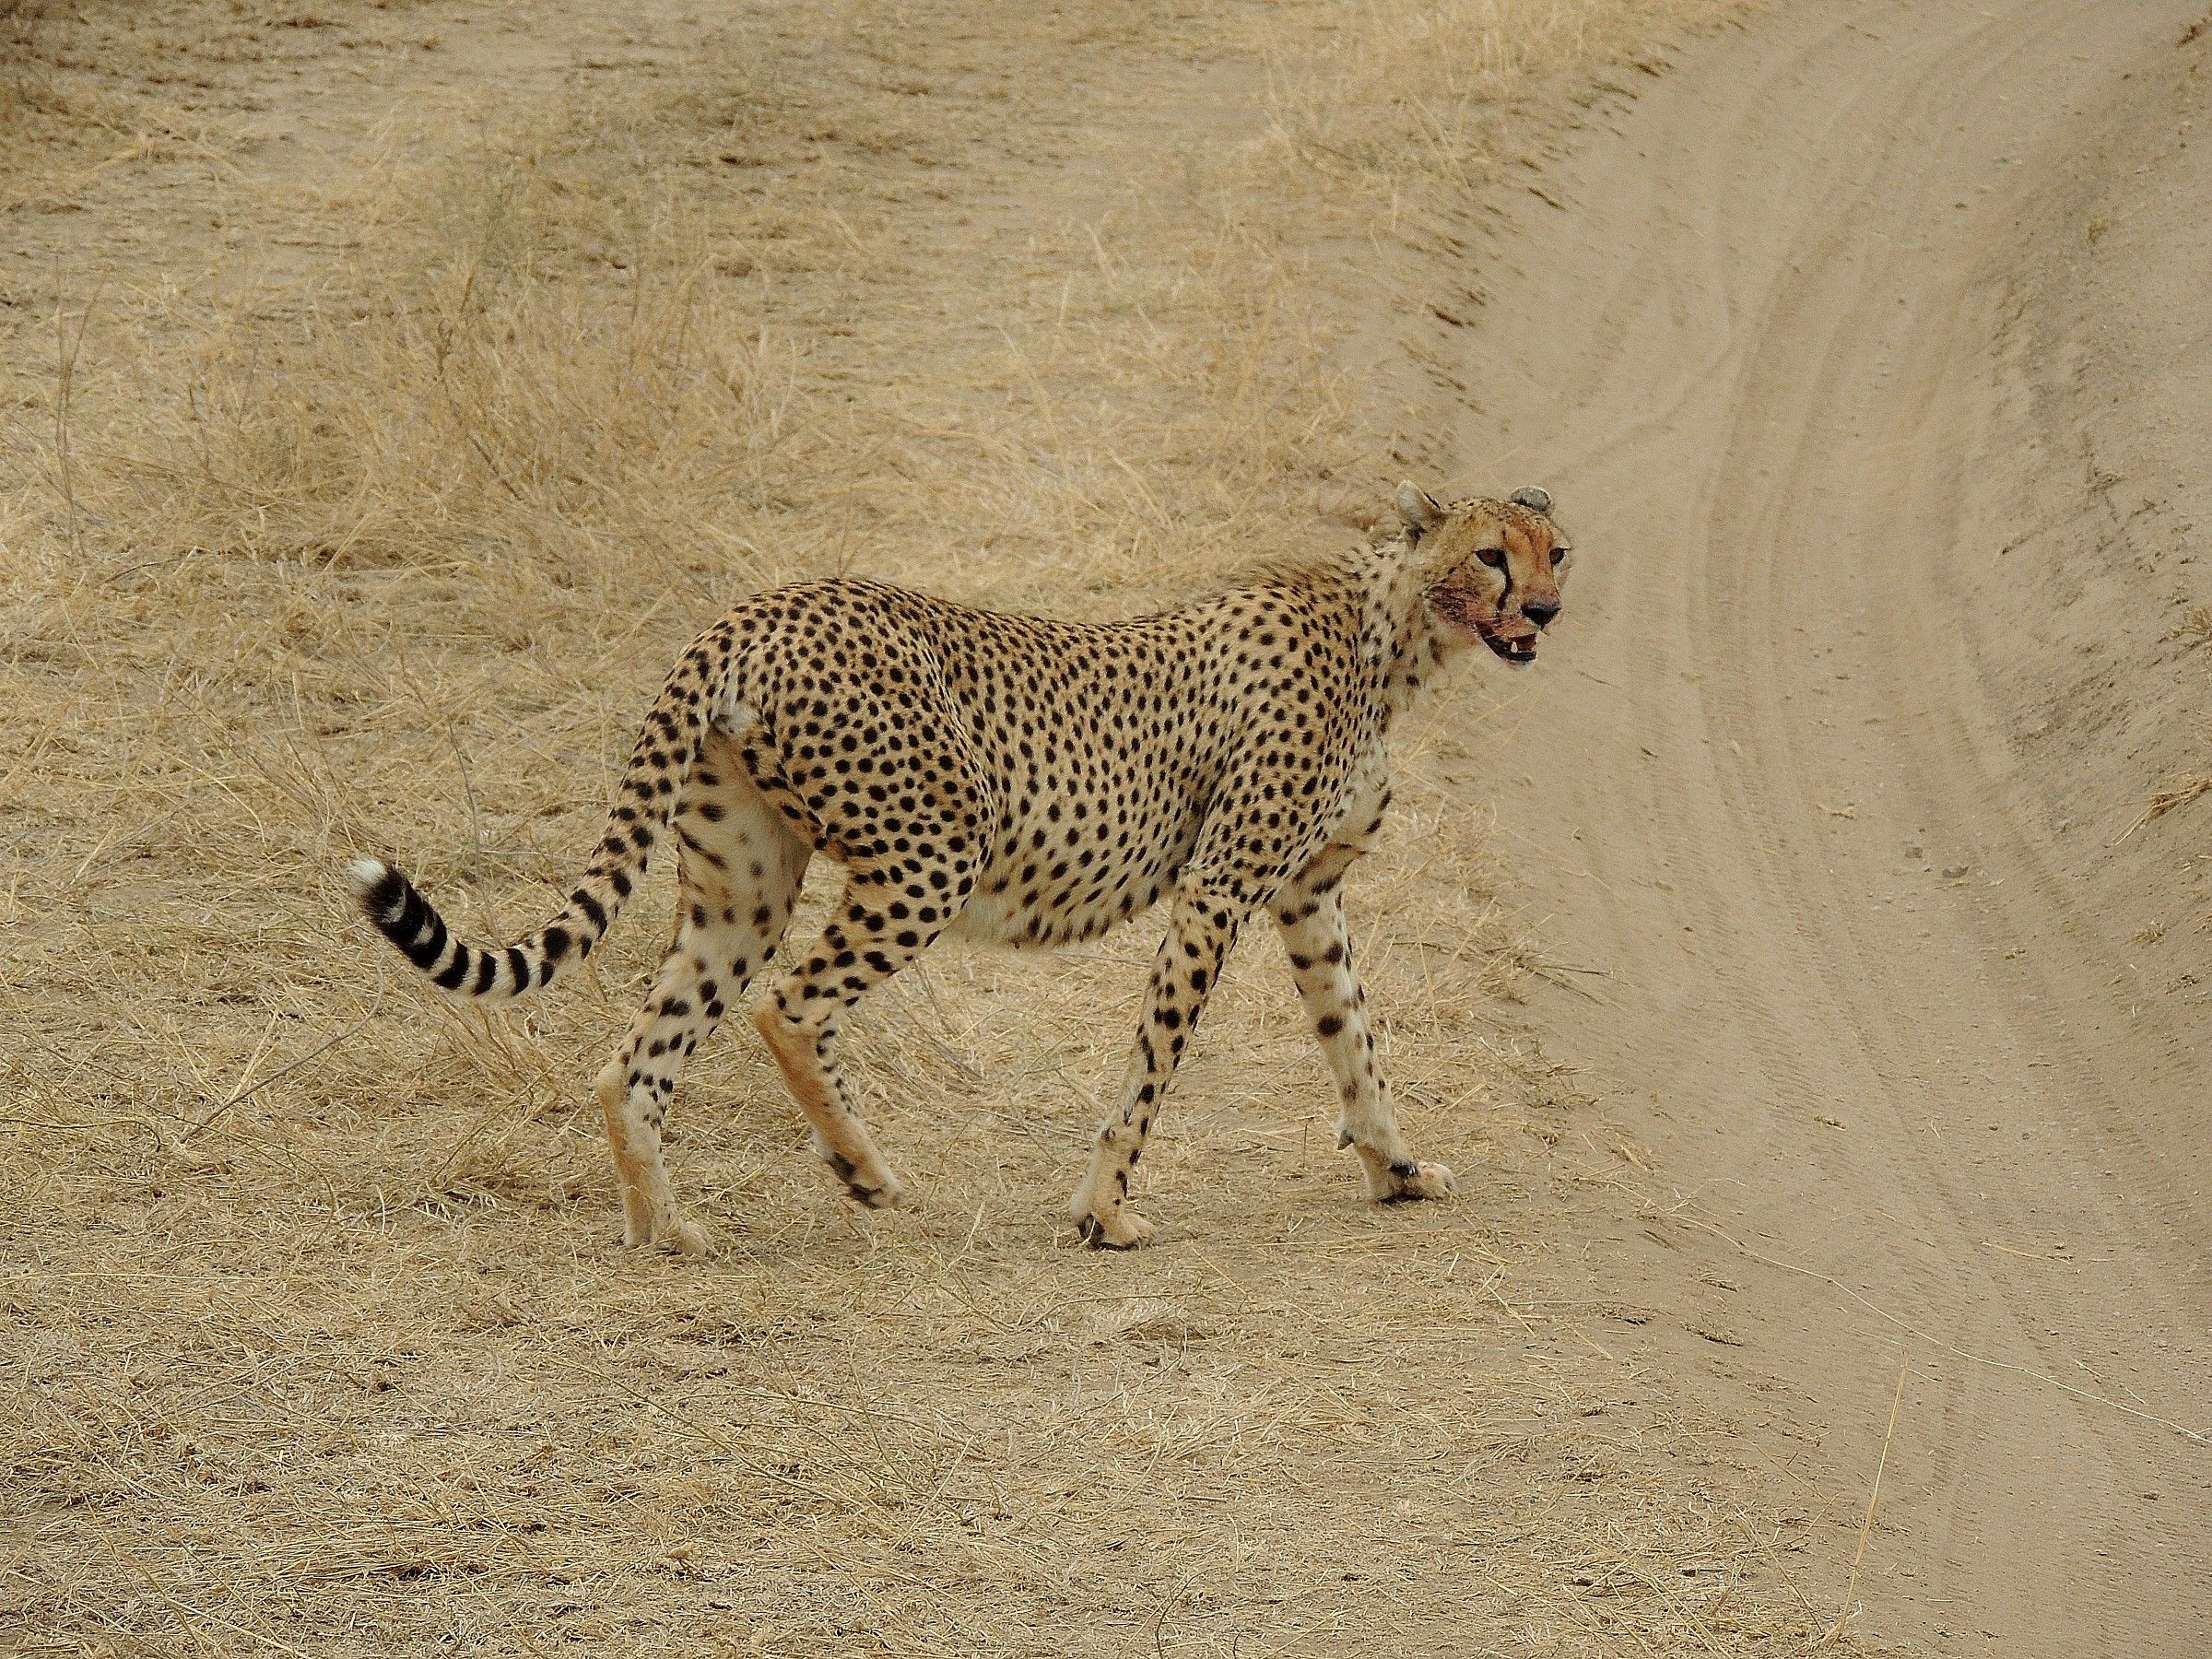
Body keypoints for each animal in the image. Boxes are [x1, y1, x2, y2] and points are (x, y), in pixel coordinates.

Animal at [347, 482, 1572, 1251]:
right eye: (1489, 554)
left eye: (1554, 550)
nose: (1549, 608)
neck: (1395, 632)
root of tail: (756, 607)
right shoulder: (1221, 888)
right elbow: (1153, 1065)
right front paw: (1105, 1214)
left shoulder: (1308, 895)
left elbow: (1355, 1039)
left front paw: (1397, 1169)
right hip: (935, 849)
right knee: (790, 1006)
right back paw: (865, 1171)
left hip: (744, 885)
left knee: (634, 1058)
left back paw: (665, 1229)